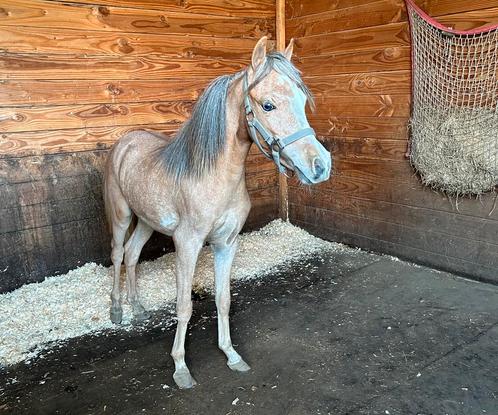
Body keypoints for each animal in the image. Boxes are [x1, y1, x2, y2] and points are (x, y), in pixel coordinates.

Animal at [103, 36, 330, 390]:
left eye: (303, 101)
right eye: (268, 105)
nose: (320, 166)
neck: (214, 176)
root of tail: (124, 142)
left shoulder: (227, 243)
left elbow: (224, 300)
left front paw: (231, 355)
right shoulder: (187, 244)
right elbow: (184, 306)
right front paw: (181, 368)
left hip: (146, 222)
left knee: (132, 254)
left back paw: (137, 307)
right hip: (121, 216)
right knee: (116, 255)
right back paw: (117, 310)